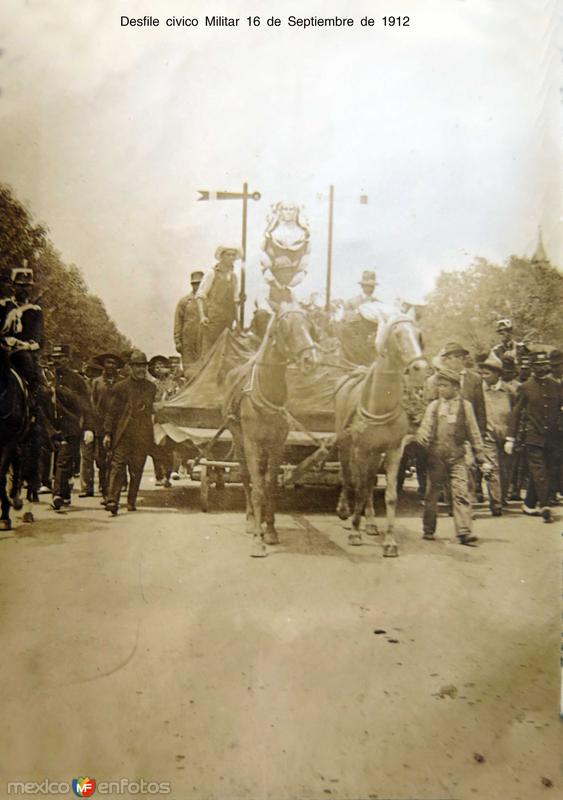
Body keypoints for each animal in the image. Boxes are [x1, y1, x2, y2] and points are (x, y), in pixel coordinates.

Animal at [226, 304, 322, 560]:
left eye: (310, 327)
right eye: (285, 328)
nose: (310, 360)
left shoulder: (277, 444)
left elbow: (270, 486)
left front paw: (270, 530)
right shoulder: (251, 442)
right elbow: (258, 488)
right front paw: (257, 541)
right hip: (238, 439)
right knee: (245, 476)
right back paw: (251, 520)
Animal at [334, 306, 428, 556]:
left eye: (420, 335)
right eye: (397, 335)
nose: (421, 369)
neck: (379, 404)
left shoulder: (395, 450)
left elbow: (390, 495)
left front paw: (390, 541)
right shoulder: (360, 449)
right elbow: (358, 487)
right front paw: (354, 532)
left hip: (376, 453)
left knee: (367, 483)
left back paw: (370, 523)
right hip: (347, 445)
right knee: (349, 476)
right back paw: (345, 511)